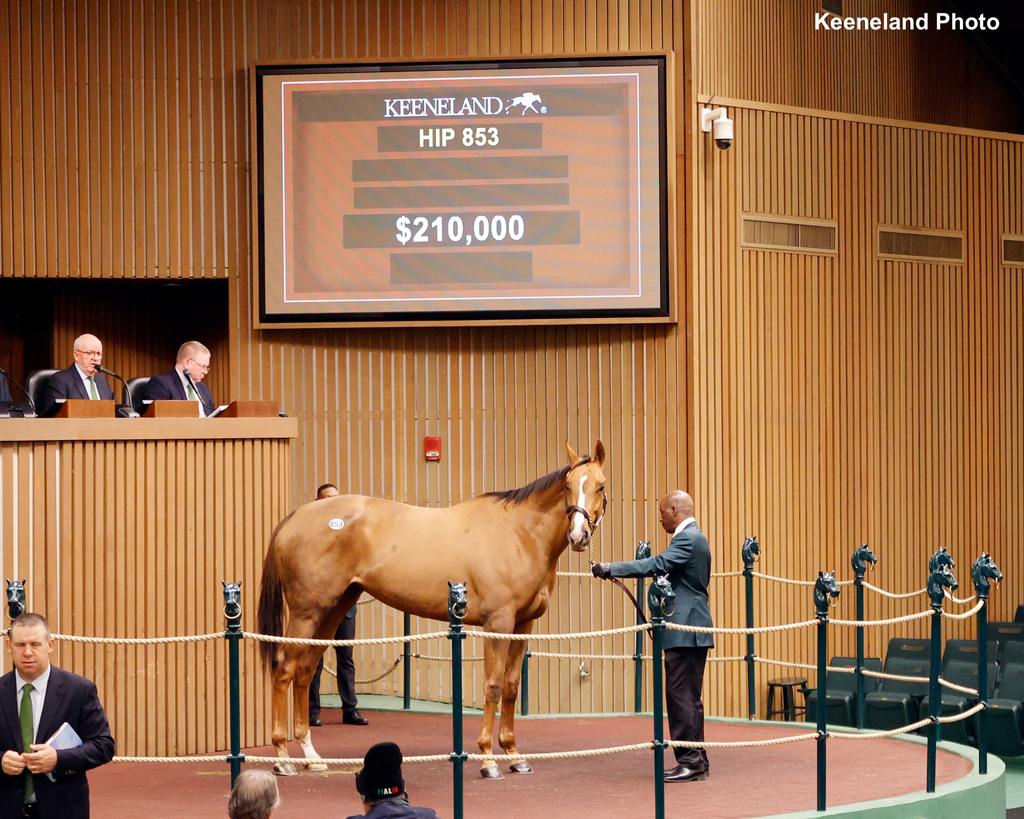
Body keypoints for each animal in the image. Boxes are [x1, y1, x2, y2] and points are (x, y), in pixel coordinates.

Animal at [258, 442, 606, 773]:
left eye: (600, 486)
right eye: (568, 485)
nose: (578, 535)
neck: (518, 534)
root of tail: (298, 516)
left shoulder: (523, 625)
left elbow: (510, 686)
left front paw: (513, 755)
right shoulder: (498, 623)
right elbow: (493, 687)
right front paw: (488, 759)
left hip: (334, 608)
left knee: (305, 671)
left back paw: (310, 755)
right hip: (306, 612)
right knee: (284, 669)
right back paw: (282, 757)